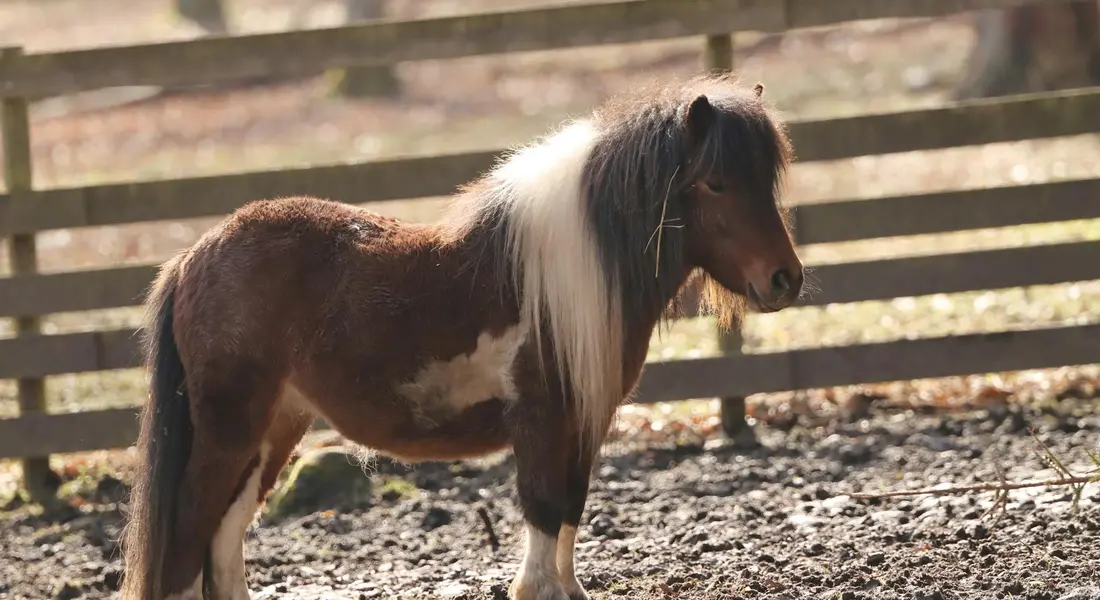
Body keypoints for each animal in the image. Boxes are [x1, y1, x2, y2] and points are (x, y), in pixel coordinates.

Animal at [119, 73, 804, 600]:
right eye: (715, 182)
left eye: (767, 180)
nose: (785, 279)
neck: (567, 271)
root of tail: (193, 256)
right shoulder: (541, 421)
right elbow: (543, 513)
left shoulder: (581, 424)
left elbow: (569, 513)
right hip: (228, 432)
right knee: (188, 536)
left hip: (273, 431)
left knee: (224, 536)